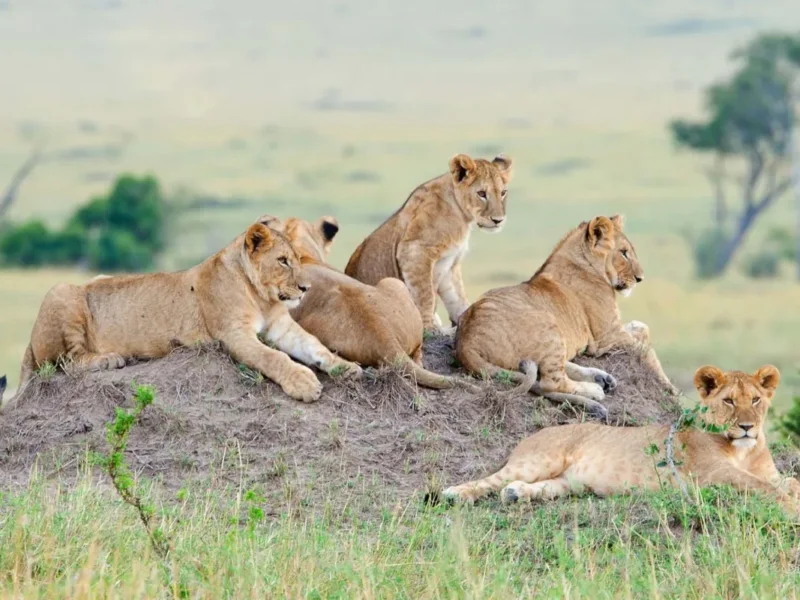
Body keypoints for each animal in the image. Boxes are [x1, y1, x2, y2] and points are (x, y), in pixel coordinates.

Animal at [0, 217, 361, 407]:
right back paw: (110, 359)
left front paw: (346, 367)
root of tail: (30, 342)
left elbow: (315, 346)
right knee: (65, 362)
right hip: (60, 293)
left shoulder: (280, 327)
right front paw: (304, 383)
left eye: (299, 260)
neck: (262, 297)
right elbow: (273, 357)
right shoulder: (233, 334)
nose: (305, 288)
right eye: (283, 261)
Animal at [344, 153, 513, 333]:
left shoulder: (450, 263)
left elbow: (457, 297)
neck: (461, 215)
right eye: (481, 193)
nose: (498, 220)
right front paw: (429, 327)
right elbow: (425, 295)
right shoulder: (414, 252)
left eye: (503, 193)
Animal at [442, 364, 800, 516]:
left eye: (756, 400)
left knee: (529, 486)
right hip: (538, 460)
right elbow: (762, 487)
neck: (744, 451)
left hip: (569, 483)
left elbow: (789, 481)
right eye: (729, 401)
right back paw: (455, 494)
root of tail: (538, 431)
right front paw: (791, 507)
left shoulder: (769, 472)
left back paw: (517, 494)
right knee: (491, 479)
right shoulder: (713, 473)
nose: (747, 427)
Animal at [455, 214, 677, 417]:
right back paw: (595, 389)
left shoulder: (613, 331)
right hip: (548, 325)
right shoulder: (608, 335)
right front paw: (671, 389)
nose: (640, 278)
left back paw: (601, 378)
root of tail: (466, 342)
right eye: (624, 253)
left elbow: (642, 327)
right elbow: (647, 350)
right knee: (550, 382)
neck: (586, 264)